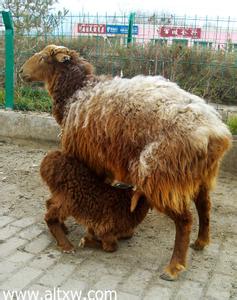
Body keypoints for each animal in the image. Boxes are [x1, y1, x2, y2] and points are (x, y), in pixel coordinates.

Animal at [20, 44, 231, 282]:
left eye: (43, 58)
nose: (20, 72)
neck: (78, 91)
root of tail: (215, 132)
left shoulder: (87, 158)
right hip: (199, 174)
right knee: (204, 206)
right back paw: (201, 242)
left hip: (160, 175)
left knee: (185, 220)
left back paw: (173, 267)